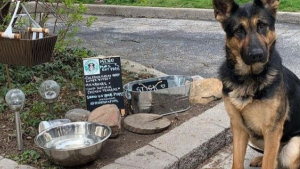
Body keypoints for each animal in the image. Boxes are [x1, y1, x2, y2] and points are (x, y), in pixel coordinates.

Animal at [213, 0, 300, 168]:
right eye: (239, 30)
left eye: (262, 25)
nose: (257, 55)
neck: (249, 78)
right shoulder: (239, 128)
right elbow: (237, 161)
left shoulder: (273, 130)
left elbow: (269, 162)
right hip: (256, 137)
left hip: (292, 148)